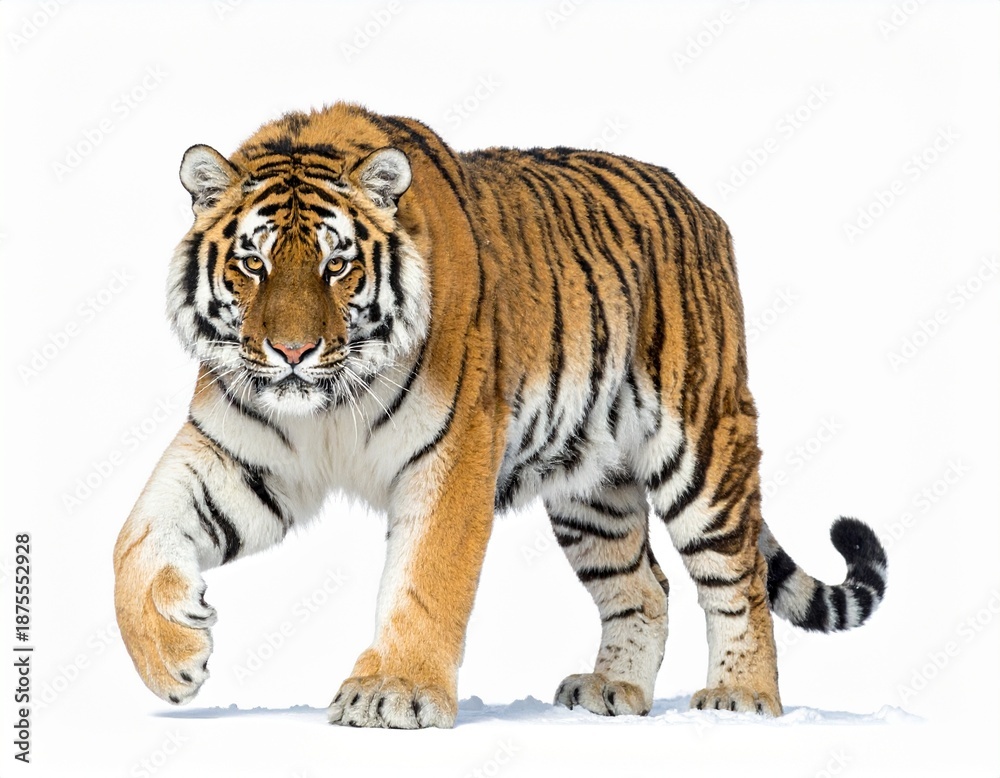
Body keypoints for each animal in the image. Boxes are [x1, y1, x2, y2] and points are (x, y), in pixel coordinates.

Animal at [112, 102, 887, 729]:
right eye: (254, 264)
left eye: (337, 267)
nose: (293, 350)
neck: (328, 401)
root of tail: (701, 206)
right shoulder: (240, 456)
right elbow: (136, 539)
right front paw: (174, 658)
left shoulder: (452, 454)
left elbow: (425, 579)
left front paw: (392, 693)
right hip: (592, 490)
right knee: (645, 586)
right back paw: (613, 691)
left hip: (702, 444)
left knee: (737, 579)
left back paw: (742, 698)